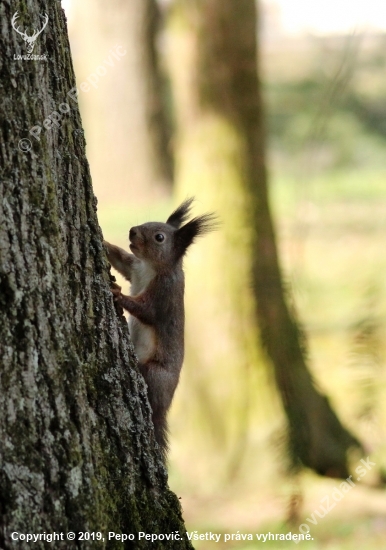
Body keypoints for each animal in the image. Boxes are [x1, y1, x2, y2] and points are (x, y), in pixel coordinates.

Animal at [104, 198, 216, 462]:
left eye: (159, 237)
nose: (132, 231)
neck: (151, 267)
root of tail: (165, 408)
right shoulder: (134, 267)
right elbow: (121, 259)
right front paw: (103, 242)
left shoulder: (163, 294)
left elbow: (146, 311)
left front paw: (118, 294)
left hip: (156, 374)